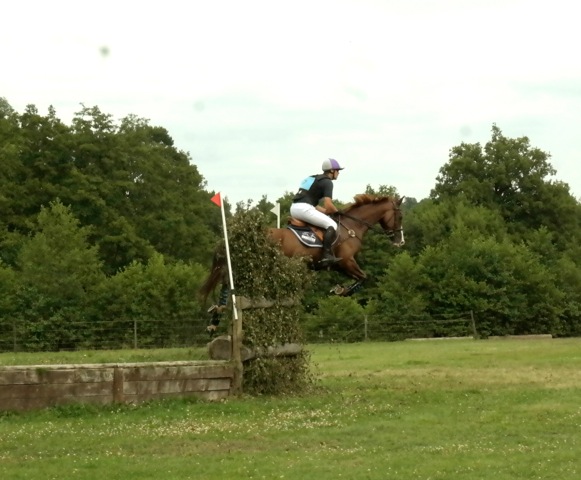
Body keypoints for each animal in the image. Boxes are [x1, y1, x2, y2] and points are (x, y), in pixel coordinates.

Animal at [199, 194, 404, 308]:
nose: (400, 241)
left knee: (227, 281)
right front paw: (341, 290)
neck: (351, 226)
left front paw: (340, 288)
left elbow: (360, 278)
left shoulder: (340, 265)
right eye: (400, 216)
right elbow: (363, 277)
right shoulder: (347, 261)